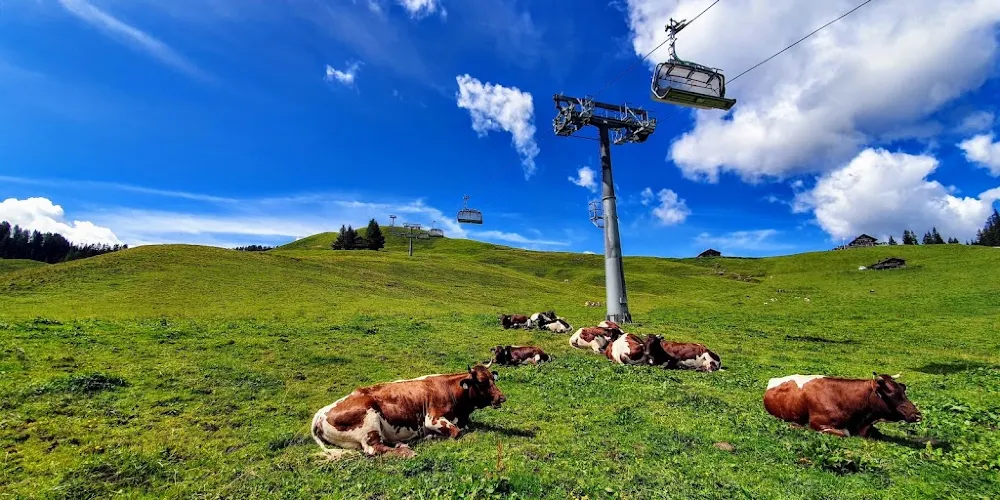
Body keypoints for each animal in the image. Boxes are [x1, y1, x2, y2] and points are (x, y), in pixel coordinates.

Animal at [311, 363, 506, 459]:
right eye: (481, 382)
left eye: (493, 379)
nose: (502, 398)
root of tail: (320, 413)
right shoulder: (432, 419)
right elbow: (457, 432)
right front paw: (432, 437)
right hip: (369, 420)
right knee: (373, 448)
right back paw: (406, 450)